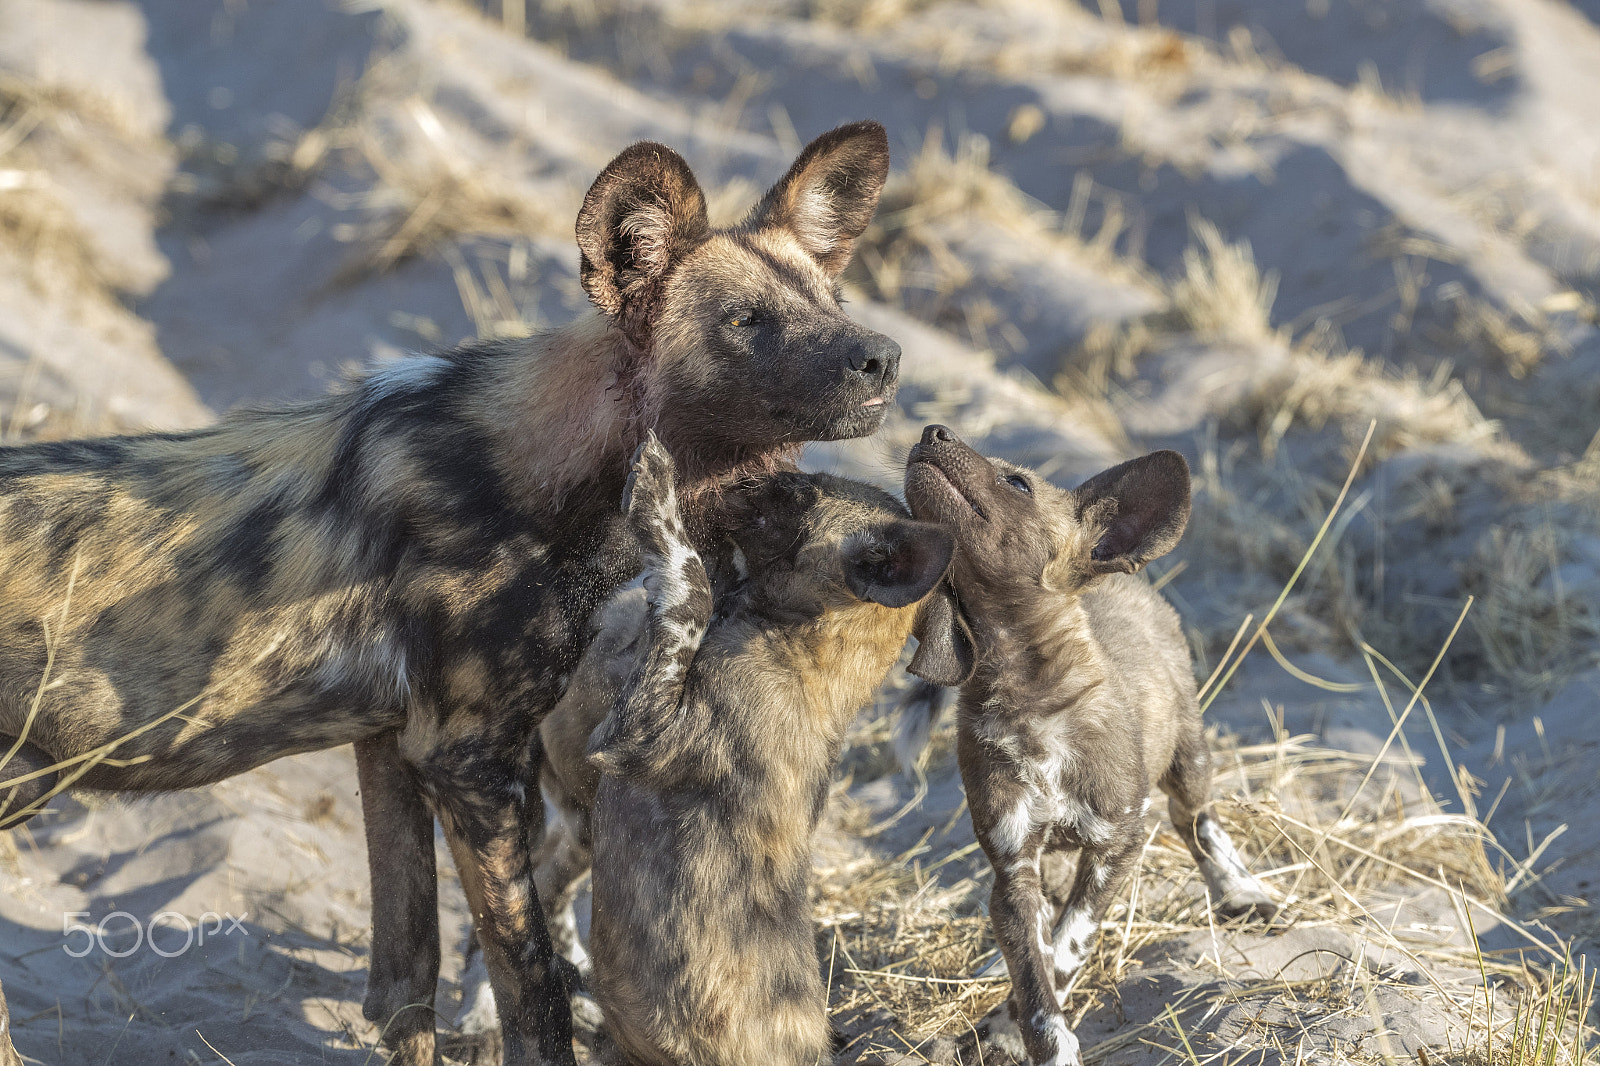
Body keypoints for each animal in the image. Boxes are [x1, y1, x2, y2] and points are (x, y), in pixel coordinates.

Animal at [0, 120, 902, 1056]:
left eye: (832, 301)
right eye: (747, 321)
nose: (883, 356)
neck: (560, 476)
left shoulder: (390, 746)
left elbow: (409, 979)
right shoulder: (468, 762)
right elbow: (534, 988)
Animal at [902, 422, 1273, 1062]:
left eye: (1017, 482)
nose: (933, 430)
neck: (1030, 700)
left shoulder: (1118, 845)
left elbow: (1067, 947)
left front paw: (1015, 1028)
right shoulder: (1014, 865)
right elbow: (1035, 966)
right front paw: (1032, 1033)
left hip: (1189, 762)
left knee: (1197, 819)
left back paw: (1239, 889)